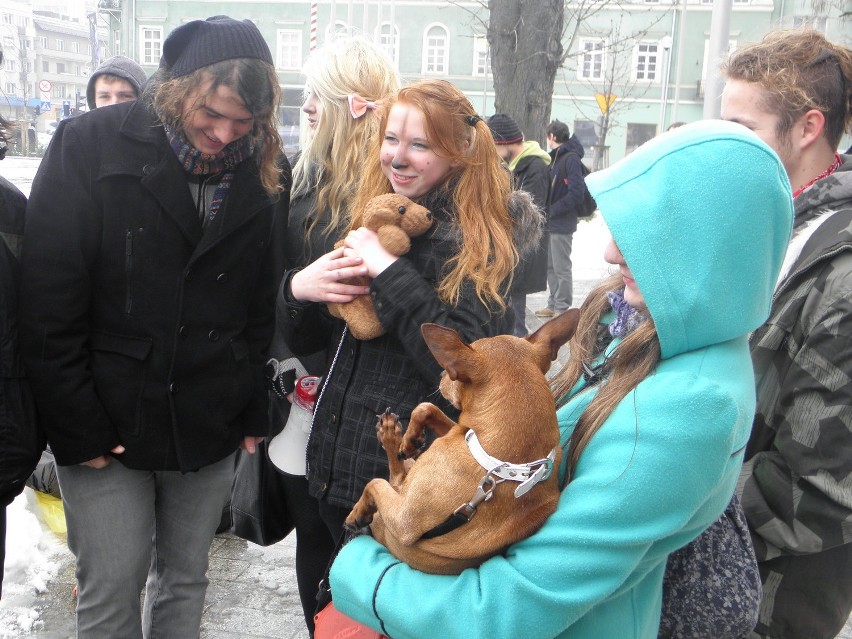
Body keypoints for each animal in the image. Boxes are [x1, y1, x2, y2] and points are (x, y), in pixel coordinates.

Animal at [344, 310, 580, 576]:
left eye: (450, 370)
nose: (440, 375)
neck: (504, 464)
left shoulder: (402, 521)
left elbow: (374, 483)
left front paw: (356, 513)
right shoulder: (461, 431)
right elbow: (426, 407)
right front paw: (412, 438)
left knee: (392, 474)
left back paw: (389, 436)